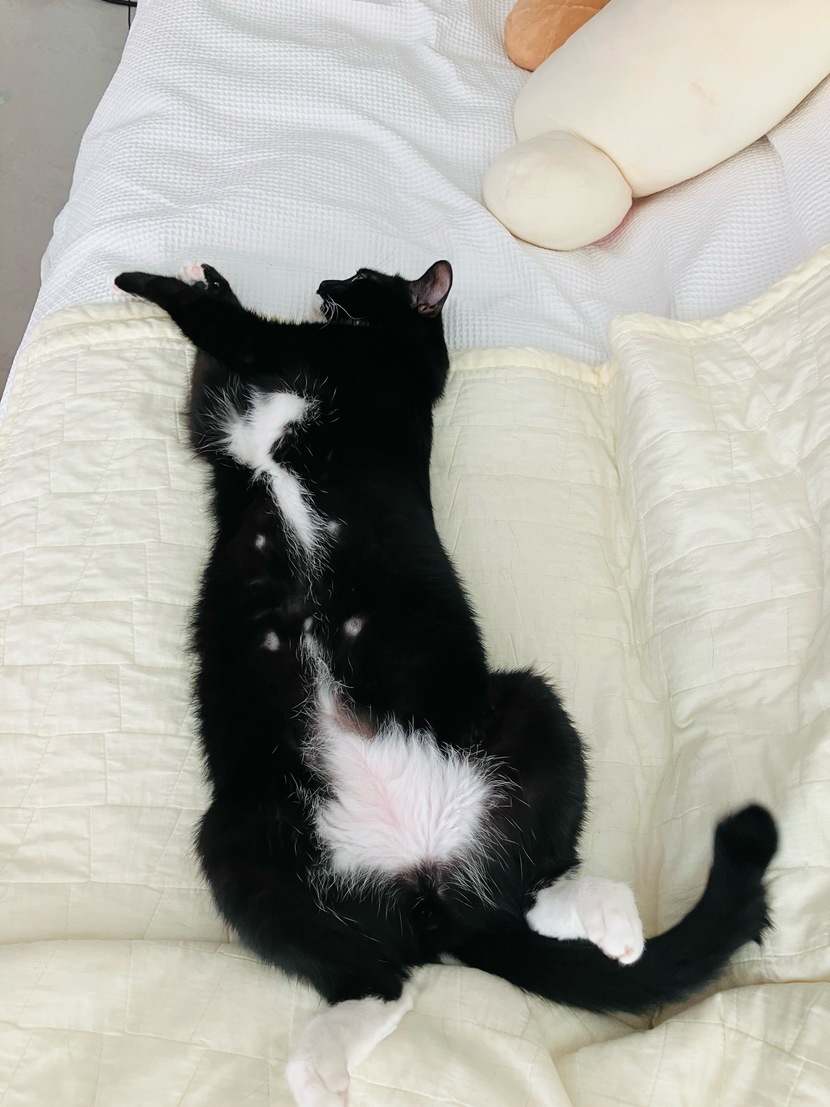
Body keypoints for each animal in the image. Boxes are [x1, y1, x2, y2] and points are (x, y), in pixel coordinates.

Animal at [115, 260, 778, 1106]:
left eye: (364, 276)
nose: (327, 278)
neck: (394, 353)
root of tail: (429, 883)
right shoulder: (225, 425)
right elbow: (209, 379)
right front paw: (209, 272)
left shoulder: (300, 359)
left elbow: (229, 327)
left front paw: (156, 279)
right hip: (240, 837)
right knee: (386, 976)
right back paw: (322, 1066)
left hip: (529, 706)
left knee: (534, 881)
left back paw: (607, 918)